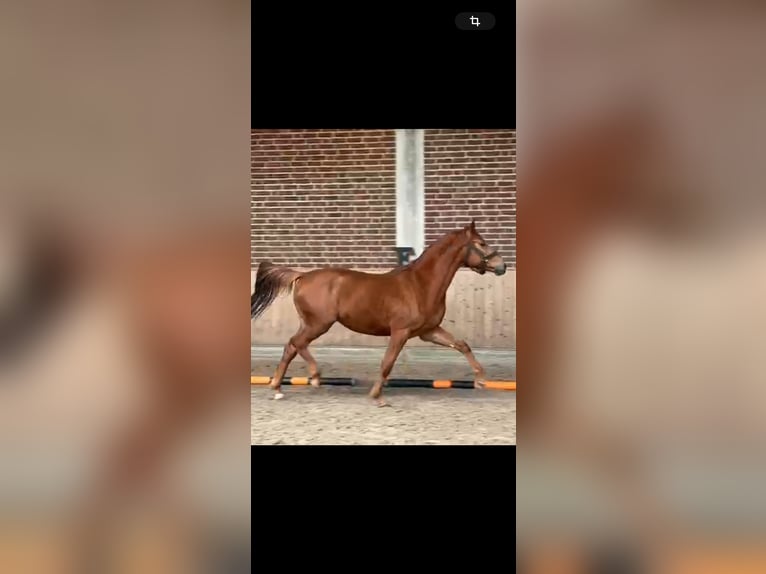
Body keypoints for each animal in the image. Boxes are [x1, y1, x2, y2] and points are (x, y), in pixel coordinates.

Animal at [250, 220, 507, 406]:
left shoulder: (429, 331)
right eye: (481, 243)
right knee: (297, 343)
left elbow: (462, 345)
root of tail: (301, 275)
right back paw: (313, 376)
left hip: (311, 323)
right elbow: (388, 362)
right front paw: (377, 396)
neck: (421, 285)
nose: (502, 266)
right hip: (319, 323)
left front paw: (481, 380)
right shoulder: (401, 332)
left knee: (291, 346)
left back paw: (278, 388)